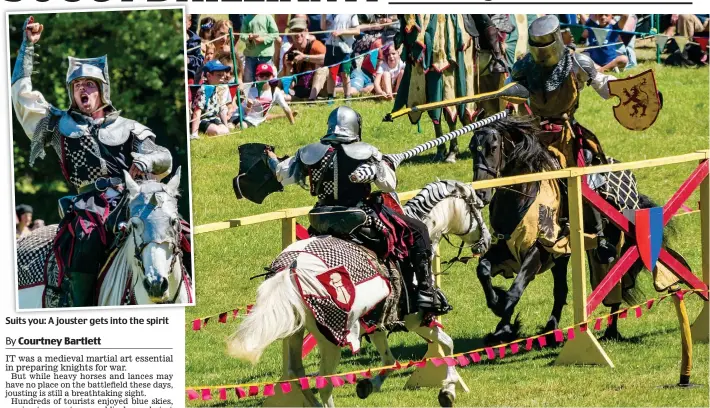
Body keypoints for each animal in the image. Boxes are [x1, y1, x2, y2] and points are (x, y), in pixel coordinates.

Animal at [231, 182, 492, 408]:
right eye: (478, 207)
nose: (487, 241)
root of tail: (291, 270)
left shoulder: (377, 322)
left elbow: (389, 359)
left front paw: (369, 385)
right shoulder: (415, 319)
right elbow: (447, 344)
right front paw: (448, 389)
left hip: (297, 331)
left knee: (297, 374)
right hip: (330, 338)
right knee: (324, 384)